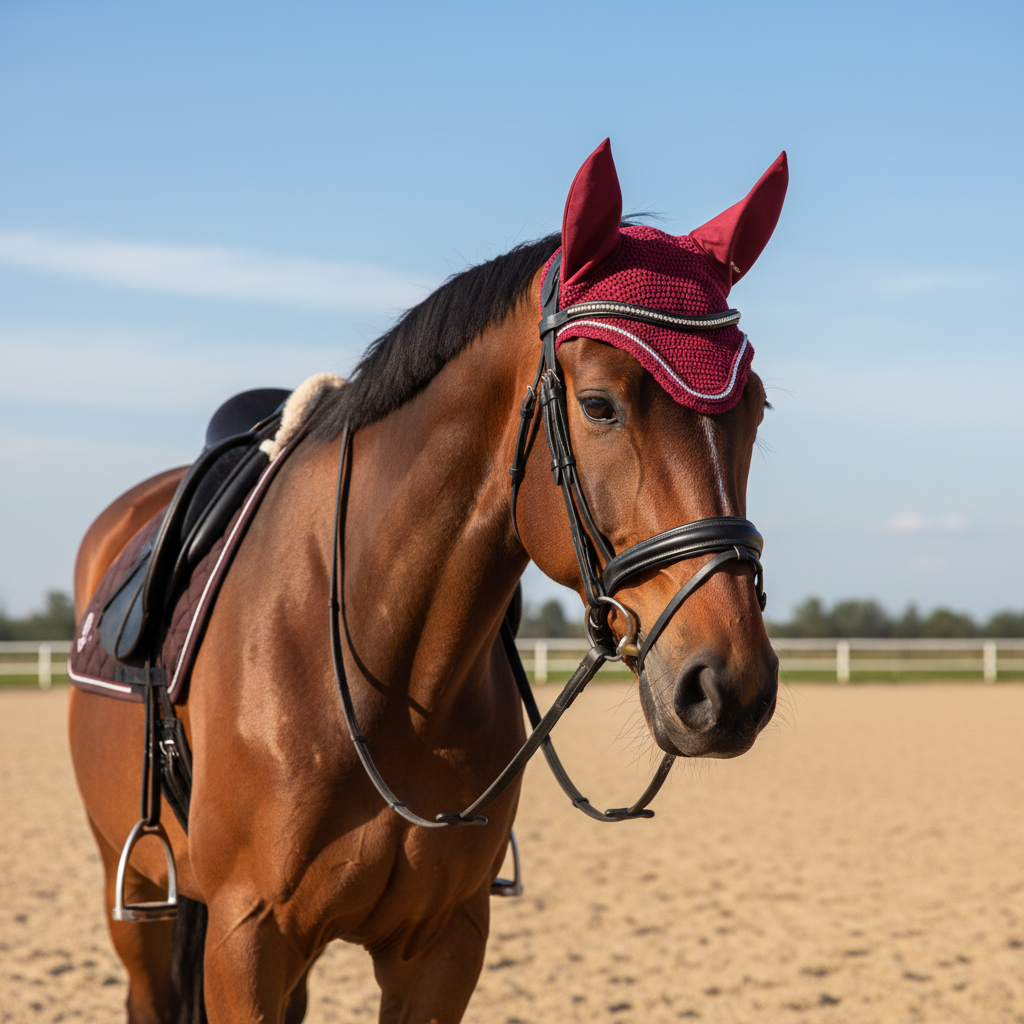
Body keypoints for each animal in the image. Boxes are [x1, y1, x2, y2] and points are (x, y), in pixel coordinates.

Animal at [68, 139, 786, 1023]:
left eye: (755, 408)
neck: (392, 672)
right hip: (135, 890)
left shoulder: (443, 945)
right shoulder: (247, 940)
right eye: (598, 405)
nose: (730, 685)